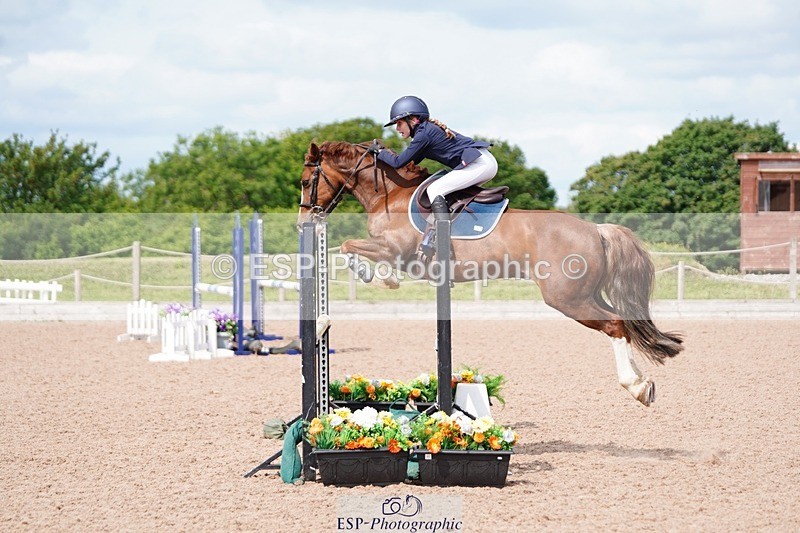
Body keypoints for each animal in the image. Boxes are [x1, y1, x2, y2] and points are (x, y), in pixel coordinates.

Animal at [298, 141, 683, 407]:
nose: (303, 221)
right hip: (586, 295)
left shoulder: (394, 250)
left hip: (567, 299)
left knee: (615, 325)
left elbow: (347, 246)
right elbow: (349, 247)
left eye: (304, 181)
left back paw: (636, 387)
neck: (389, 193)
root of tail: (596, 229)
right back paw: (643, 384)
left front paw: (377, 277)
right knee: (624, 322)